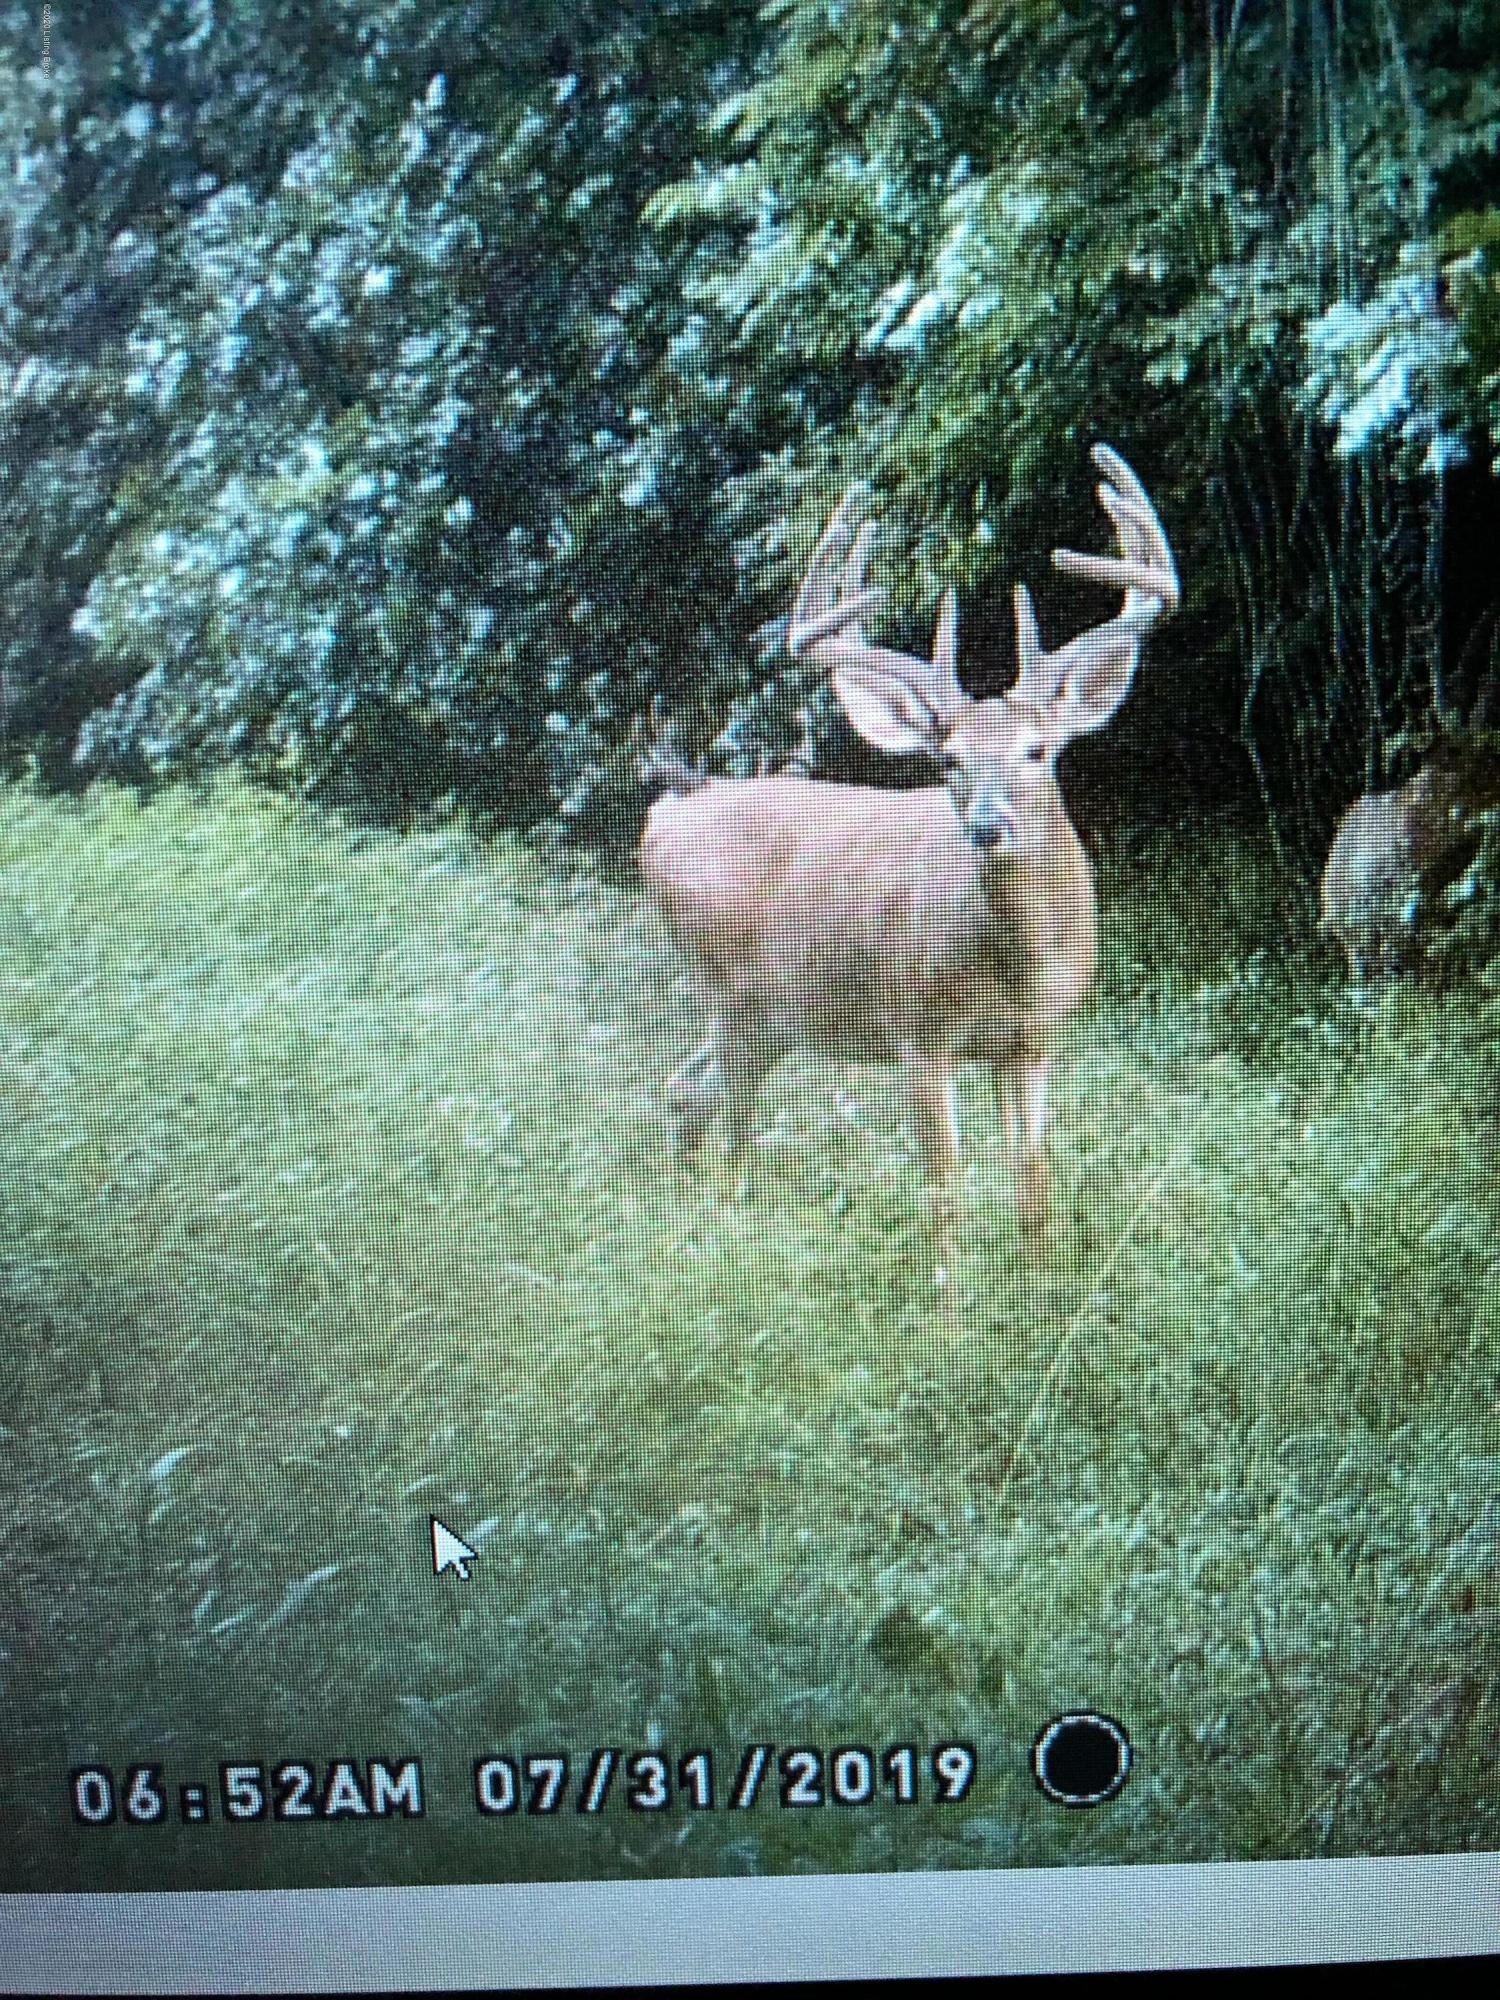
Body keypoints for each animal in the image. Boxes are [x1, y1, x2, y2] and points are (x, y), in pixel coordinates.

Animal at [639, 445, 1179, 1277]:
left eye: (1038, 750)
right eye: (948, 760)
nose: (988, 825)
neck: (1016, 965)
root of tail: (666, 809)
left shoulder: (1035, 1045)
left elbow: (1035, 1189)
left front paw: (1042, 1290)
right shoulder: (919, 1036)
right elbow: (945, 1196)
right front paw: (952, 1306)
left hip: (769, 1017)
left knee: (685, 1088)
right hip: (725, 989)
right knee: (728, 1121)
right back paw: (724, 1233)